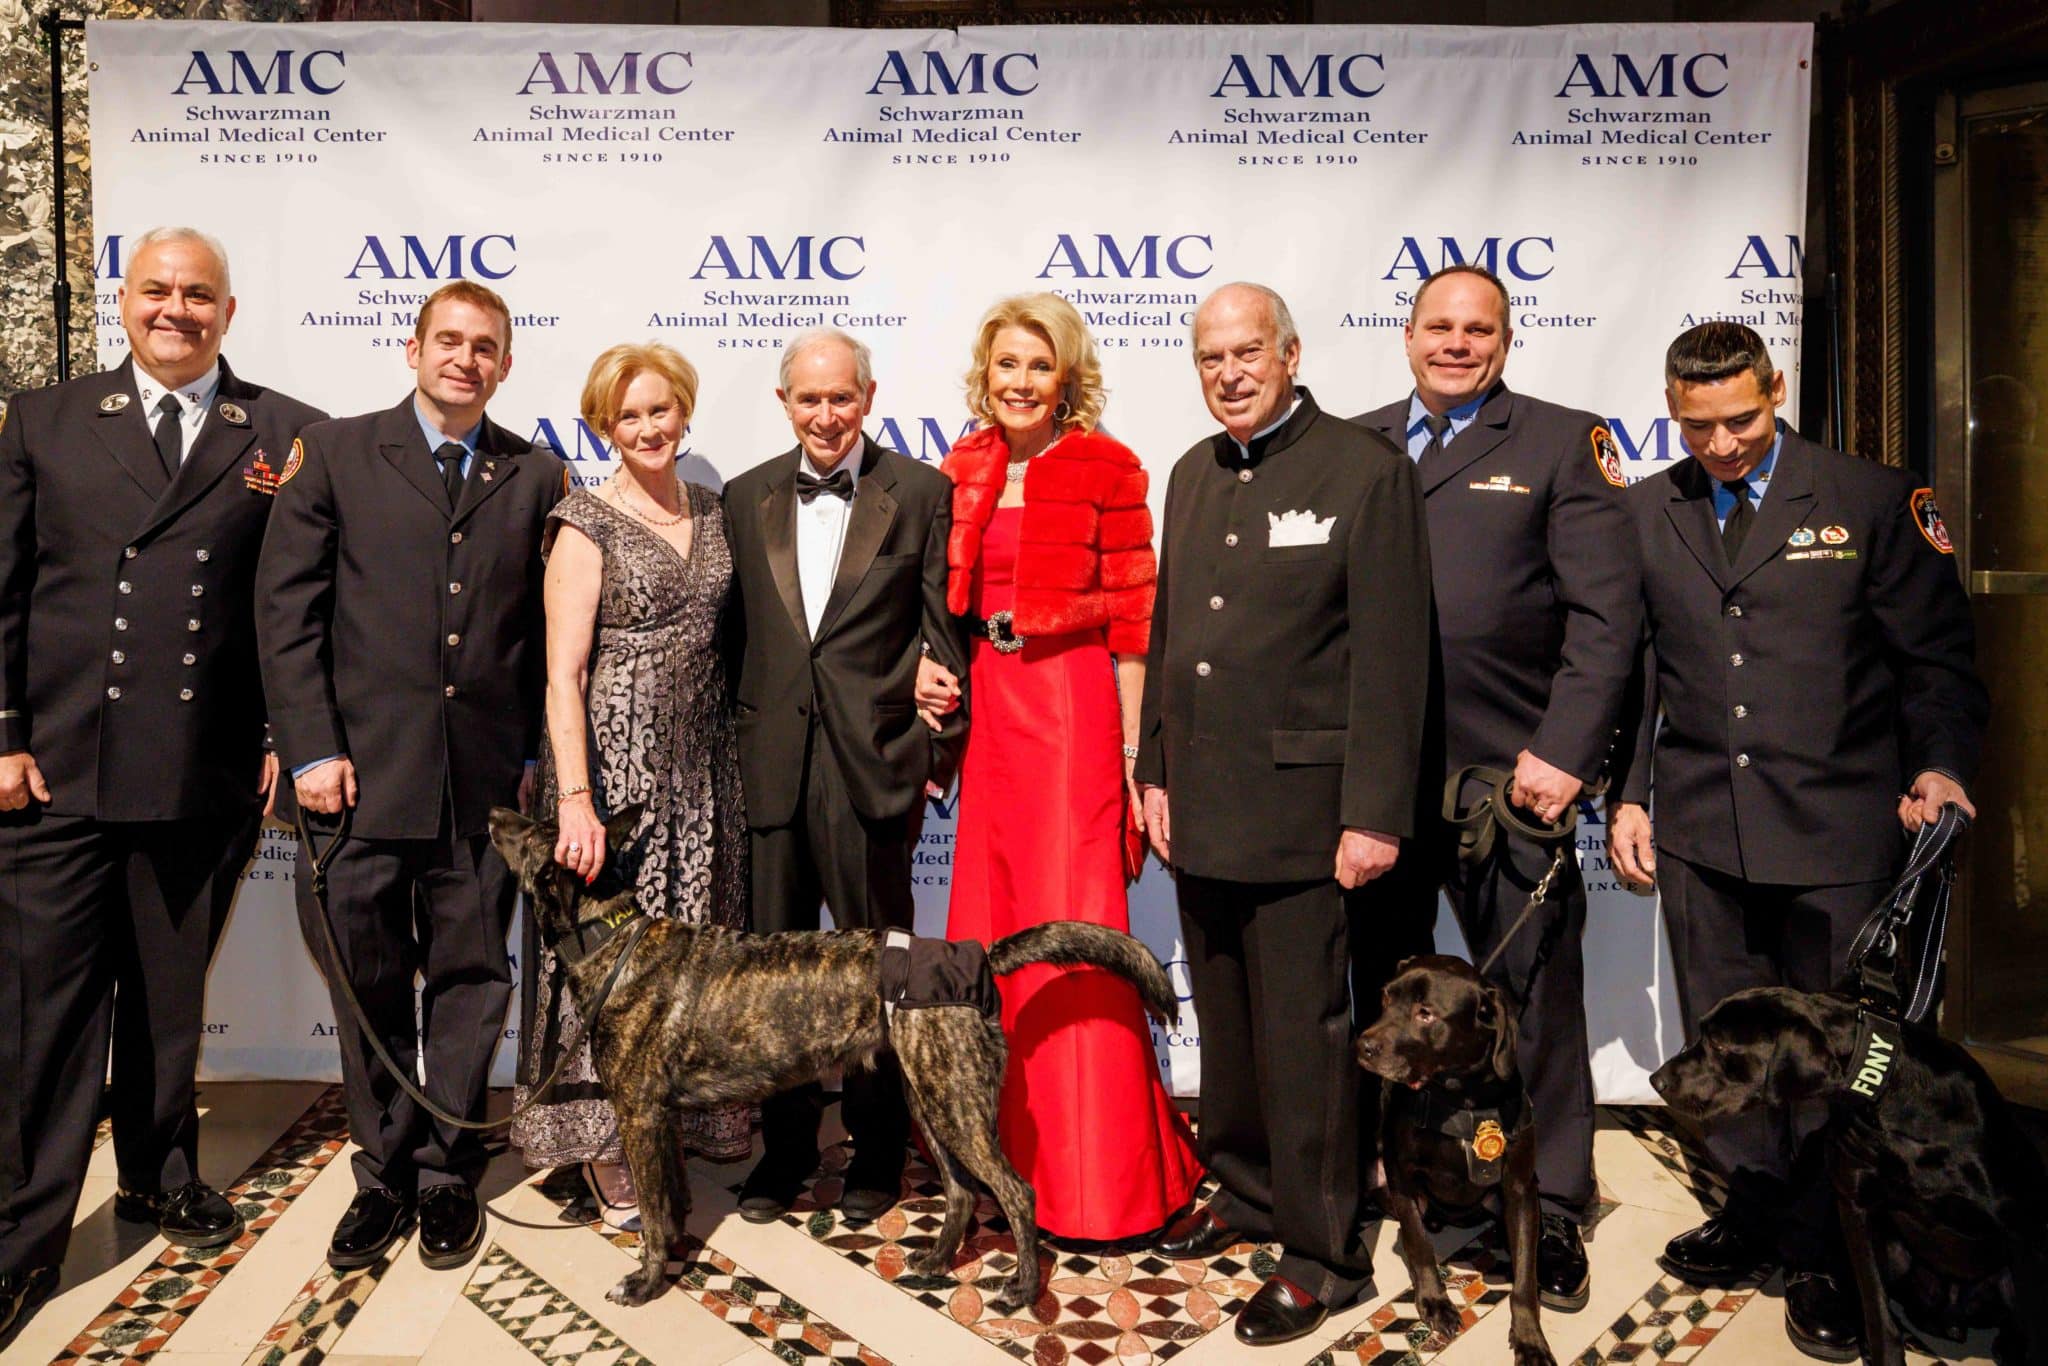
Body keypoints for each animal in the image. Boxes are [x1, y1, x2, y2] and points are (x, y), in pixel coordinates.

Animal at [485, 806, 1179, 1310]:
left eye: (533, 832)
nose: (493, 812)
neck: (612, 936)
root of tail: (974, 953)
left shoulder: (638, 1117)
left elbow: (654, 1217)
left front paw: (647, 1281)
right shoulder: (662, 1121)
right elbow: (673, 1201)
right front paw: (677, 1254)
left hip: (955, 1108)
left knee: (1016, 1191)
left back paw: (1023, 1289)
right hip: (931, 1100)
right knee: (961, 1192)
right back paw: (935, 1262)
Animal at [1359, 958, 1548, 1366]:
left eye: (1425, 1013)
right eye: (1386, 997)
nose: (1363, 1046)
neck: (1462, 1099)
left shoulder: (1520, 1190)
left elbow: (1526, 1277)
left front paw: (1530, 1338)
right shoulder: (1401, 1176)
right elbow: (1418, 1242)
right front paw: (1434, 1301)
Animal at [1646, 987, 2048, 1359]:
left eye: (1719, 1043)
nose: (1655, 1079)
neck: (1888, 1101)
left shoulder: (2022, 1232)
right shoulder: (1856, 1210)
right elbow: (1878, 1314)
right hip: (1892, 1252)